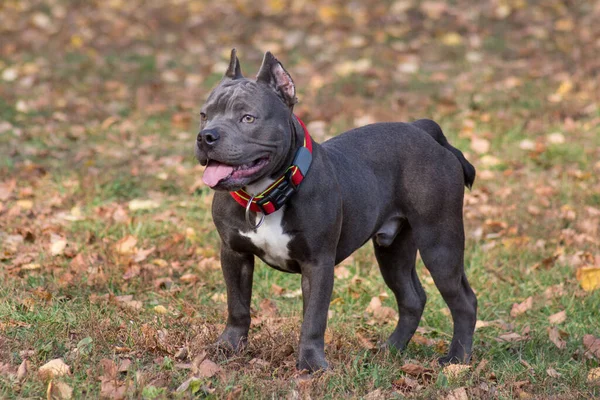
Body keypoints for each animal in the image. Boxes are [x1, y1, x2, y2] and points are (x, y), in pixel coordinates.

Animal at [197, 49, 478, 372]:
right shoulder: (234, 254)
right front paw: (229, 347)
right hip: (393, 250)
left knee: (464, 301)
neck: (265, 194)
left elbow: (313, 319)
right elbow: (237, 305)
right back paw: (390, 350)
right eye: (204, 115)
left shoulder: (318, 264)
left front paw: (311, 365)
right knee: (412, 298)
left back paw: (457, 359)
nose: (206, 136)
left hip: (440, 244)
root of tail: (425, 130)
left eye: (247, 118)